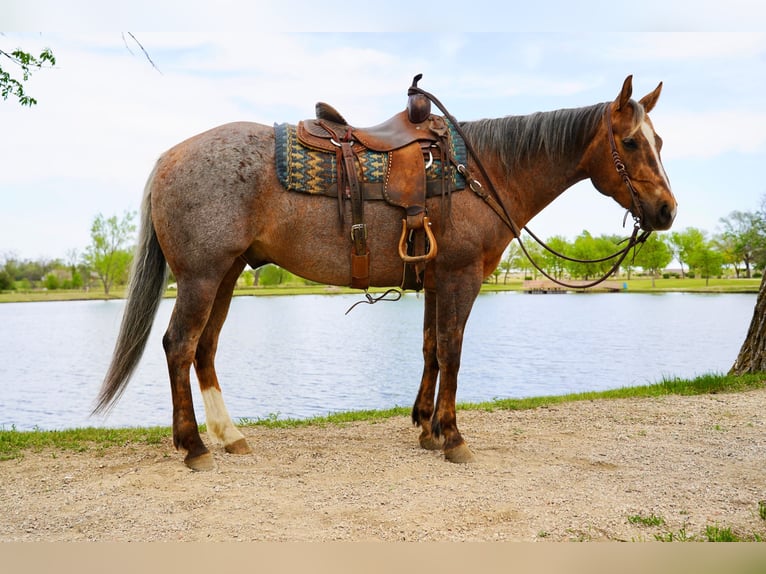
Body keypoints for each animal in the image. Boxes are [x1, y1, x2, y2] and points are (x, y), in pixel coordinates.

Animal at [94, 75, 676, 470]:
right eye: (630, 142)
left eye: (660, 142)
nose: (667, 210)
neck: (481, 171)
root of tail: (171, 156)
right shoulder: (462, 277)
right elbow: (452, 350)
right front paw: (452, 435)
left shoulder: (437, 280)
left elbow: (431, 349)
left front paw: (426, 428)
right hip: (201, 276)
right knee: (179, 347)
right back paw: (193, 446)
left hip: (228, 274)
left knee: (205, 350)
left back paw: (229, 436)